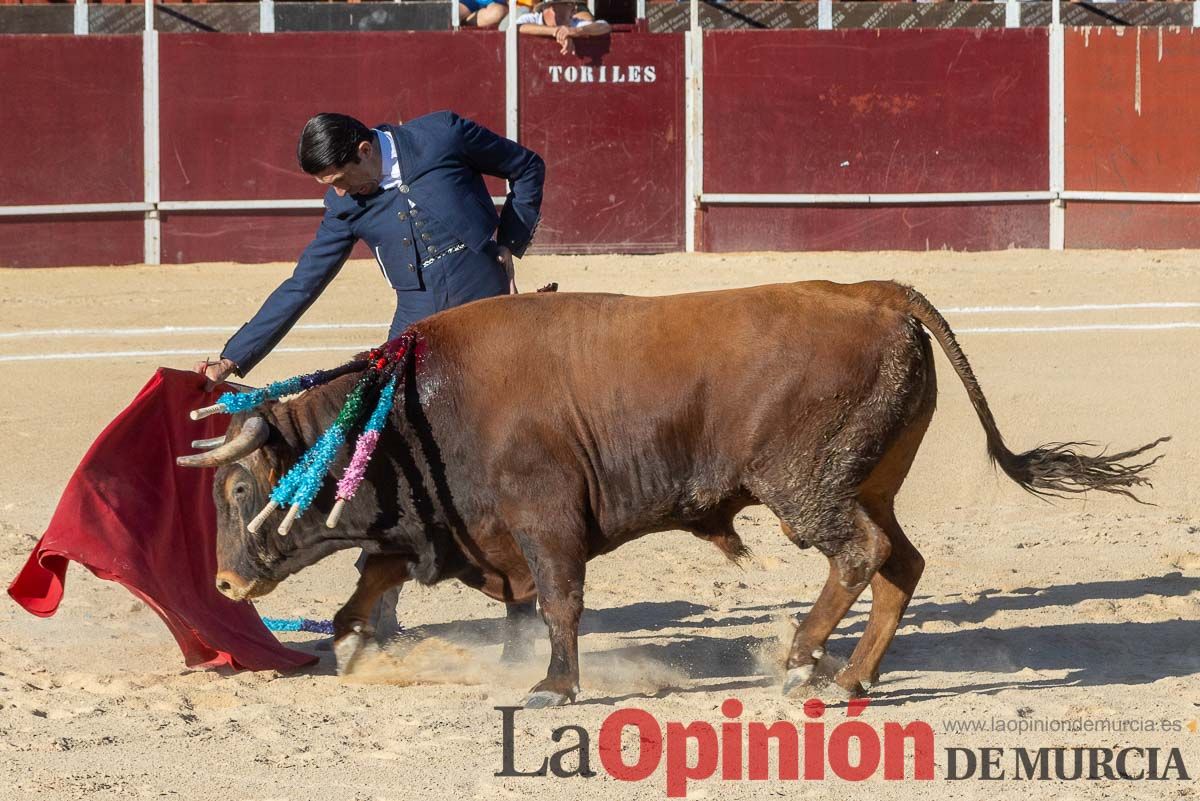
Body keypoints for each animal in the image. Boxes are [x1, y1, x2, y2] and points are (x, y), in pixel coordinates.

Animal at [175, 281, 1161, 705]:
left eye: (238, 483)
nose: (222, 583)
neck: (418, 402)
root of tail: (879, 293)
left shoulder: (543, 521)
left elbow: (561, 603)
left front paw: (553, 685)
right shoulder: (444, 531)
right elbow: (369, 581)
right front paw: (346, 648)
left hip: (804, 489)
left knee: (861, 556)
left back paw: (801, 660)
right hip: (866, 481)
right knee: (900, 563)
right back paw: (850, 676)